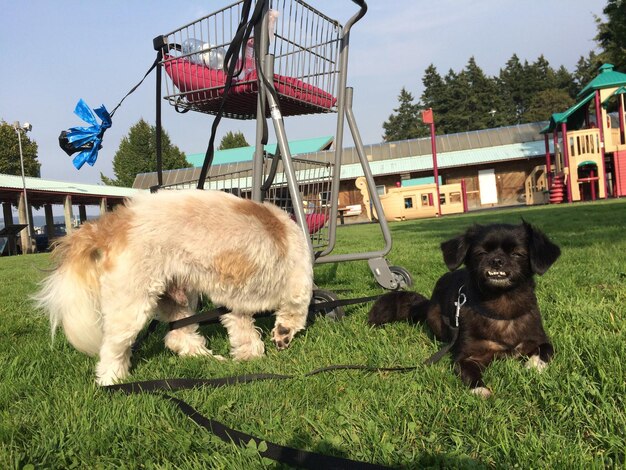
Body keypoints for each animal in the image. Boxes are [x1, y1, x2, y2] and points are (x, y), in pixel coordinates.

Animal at [34, 190, 312, 386]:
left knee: (178, 336)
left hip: (179, 297)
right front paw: (283, 334)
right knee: (112, 348)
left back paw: (206, 357)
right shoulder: (299, 284)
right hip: (132, 302)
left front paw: (249, 355)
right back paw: (112, 380)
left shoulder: (234, 302)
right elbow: (295, 313)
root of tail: (107, 225)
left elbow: (243, 329)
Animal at [368, 222, 560, 394]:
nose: (496, 260)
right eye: (481, 253)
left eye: (517, 254)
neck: (501, 305)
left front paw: (534, 364)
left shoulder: (537, 339)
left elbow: (547, 350)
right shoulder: (468, 356)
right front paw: (480, 390)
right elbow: (469, 372)